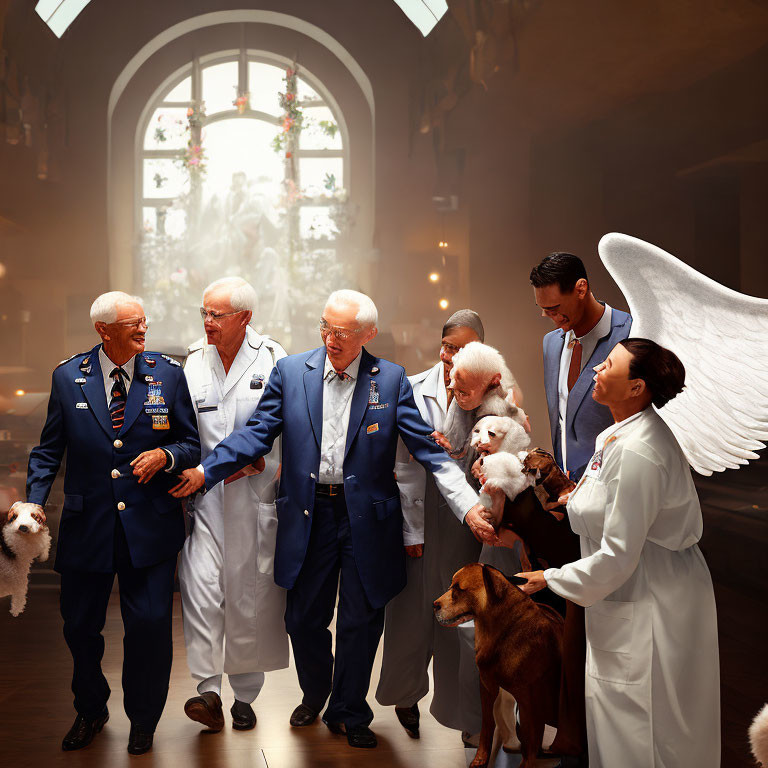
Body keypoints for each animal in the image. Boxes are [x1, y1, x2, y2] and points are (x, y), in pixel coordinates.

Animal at [432, 560, 564, 764]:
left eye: (459, 589)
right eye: (450, 586)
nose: (434, 605)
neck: (502, 633)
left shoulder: (530, 702)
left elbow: (530, 743)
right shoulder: (487, 686)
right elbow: (487, 724)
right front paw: (480, 758)